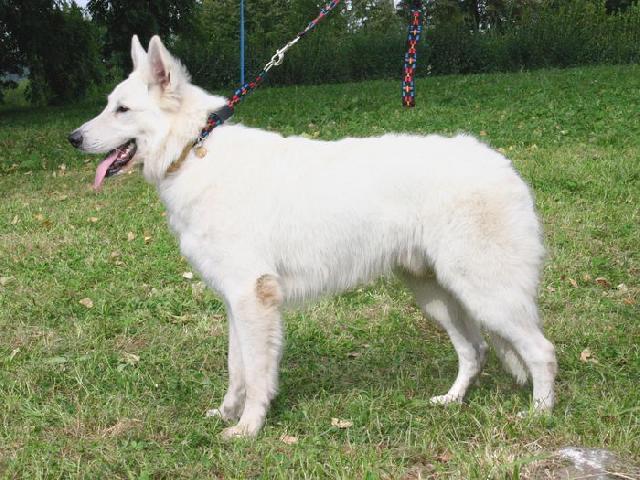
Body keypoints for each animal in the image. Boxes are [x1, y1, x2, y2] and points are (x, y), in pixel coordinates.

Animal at [69, 34, 556, 438]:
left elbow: (257, 374)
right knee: (475, 350)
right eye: (109, 105)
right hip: (437, 296)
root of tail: (501, 163)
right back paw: (452, 400)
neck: (194, 150)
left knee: (541, 351)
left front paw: (247, 429)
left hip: (485, 294)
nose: (72, 138)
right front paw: (226, 414)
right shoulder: (236, 302)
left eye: (122, 110)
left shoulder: (253, 299)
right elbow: (237, 369)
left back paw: (538, 416)